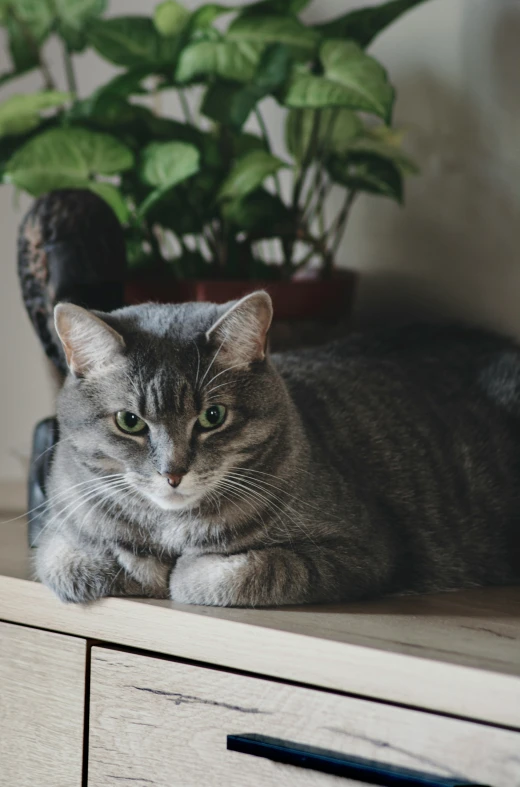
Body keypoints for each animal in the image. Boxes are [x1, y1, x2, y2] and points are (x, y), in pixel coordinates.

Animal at [35, 292, 520, 608]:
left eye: (213, 416)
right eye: (130, 422)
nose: (173, 473)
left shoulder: (364, 551)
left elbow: (247, 572)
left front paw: (182, 572)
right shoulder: (58, 526)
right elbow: (68, 560)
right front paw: (137, 564)